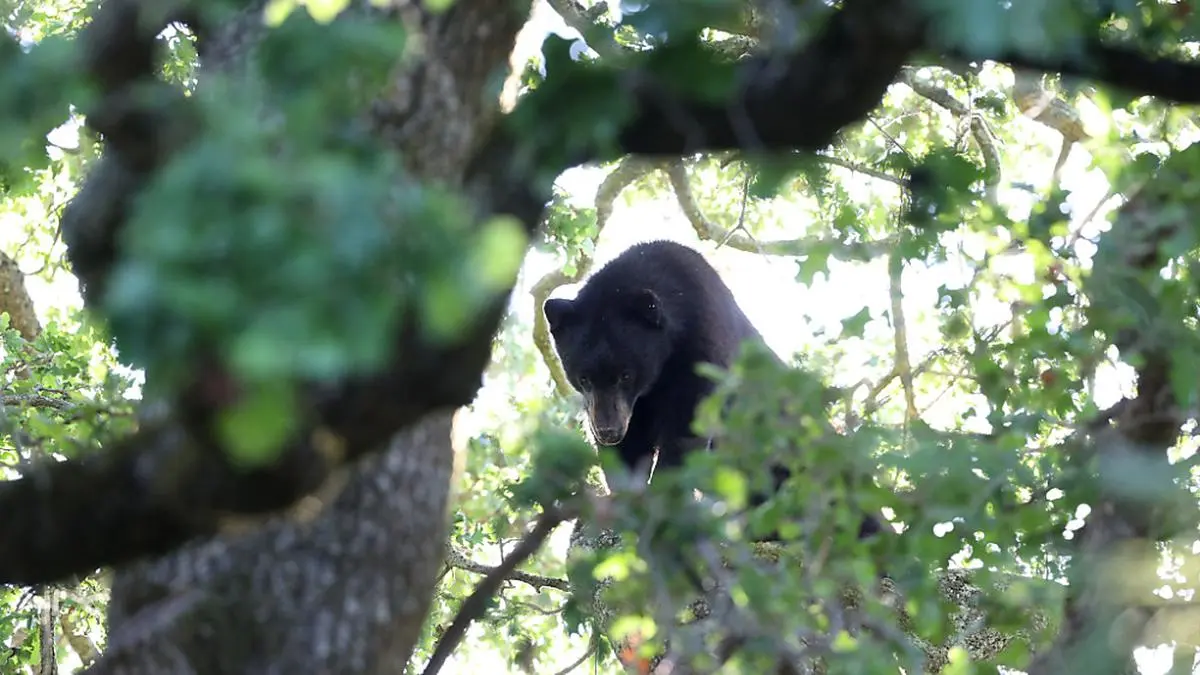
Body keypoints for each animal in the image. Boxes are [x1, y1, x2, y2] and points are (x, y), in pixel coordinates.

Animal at [543, 239, 882, 542]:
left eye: (626, 375)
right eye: (583, 378)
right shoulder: (631, 406)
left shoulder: (703, 350)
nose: (607, 431)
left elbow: (686, 429)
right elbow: (630, 447)